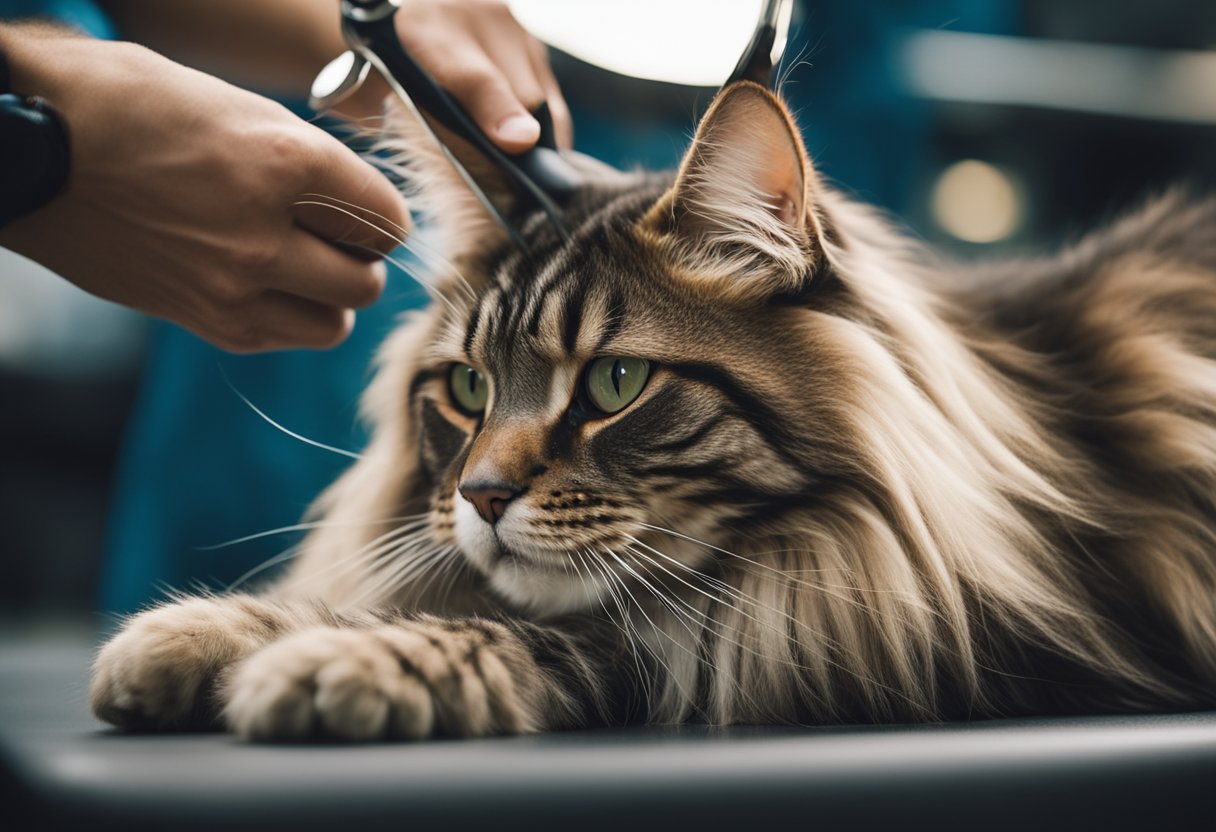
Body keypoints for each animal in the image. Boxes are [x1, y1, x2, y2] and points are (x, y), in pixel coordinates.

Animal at [88, 81, 1216, 739]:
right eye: (467, 388)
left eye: (616, 385)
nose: (483, 496)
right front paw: (198, 633)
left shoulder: (919, 636)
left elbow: (572, 639)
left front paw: (337, 663)